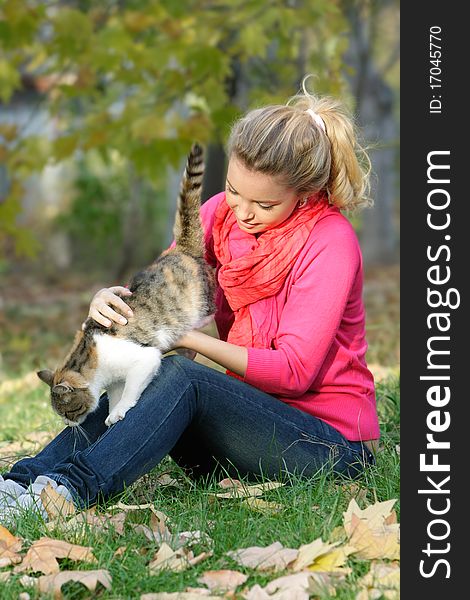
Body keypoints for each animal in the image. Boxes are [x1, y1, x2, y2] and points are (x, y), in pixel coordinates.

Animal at [37, 144, 216, 426]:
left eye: (67, 412)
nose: (68, 424)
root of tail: (181, 250)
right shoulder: (114, 381)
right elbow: (115, 394)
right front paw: (112, 412)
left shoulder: (144, 359)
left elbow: (130, 390)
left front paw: (120, 412)